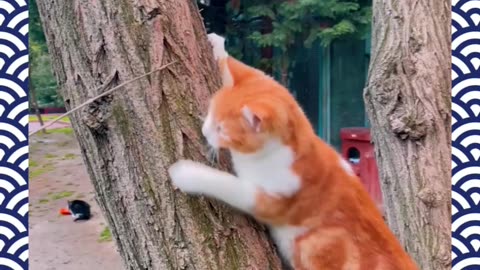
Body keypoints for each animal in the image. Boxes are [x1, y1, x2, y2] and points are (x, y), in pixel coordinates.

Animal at [168, 32, 416, 268]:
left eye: (221, 129)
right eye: (210, 112)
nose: (204, 130)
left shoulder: (271, 198)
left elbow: (226, 184)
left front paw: (186, 173)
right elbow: (252, 71)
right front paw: (218, 46)